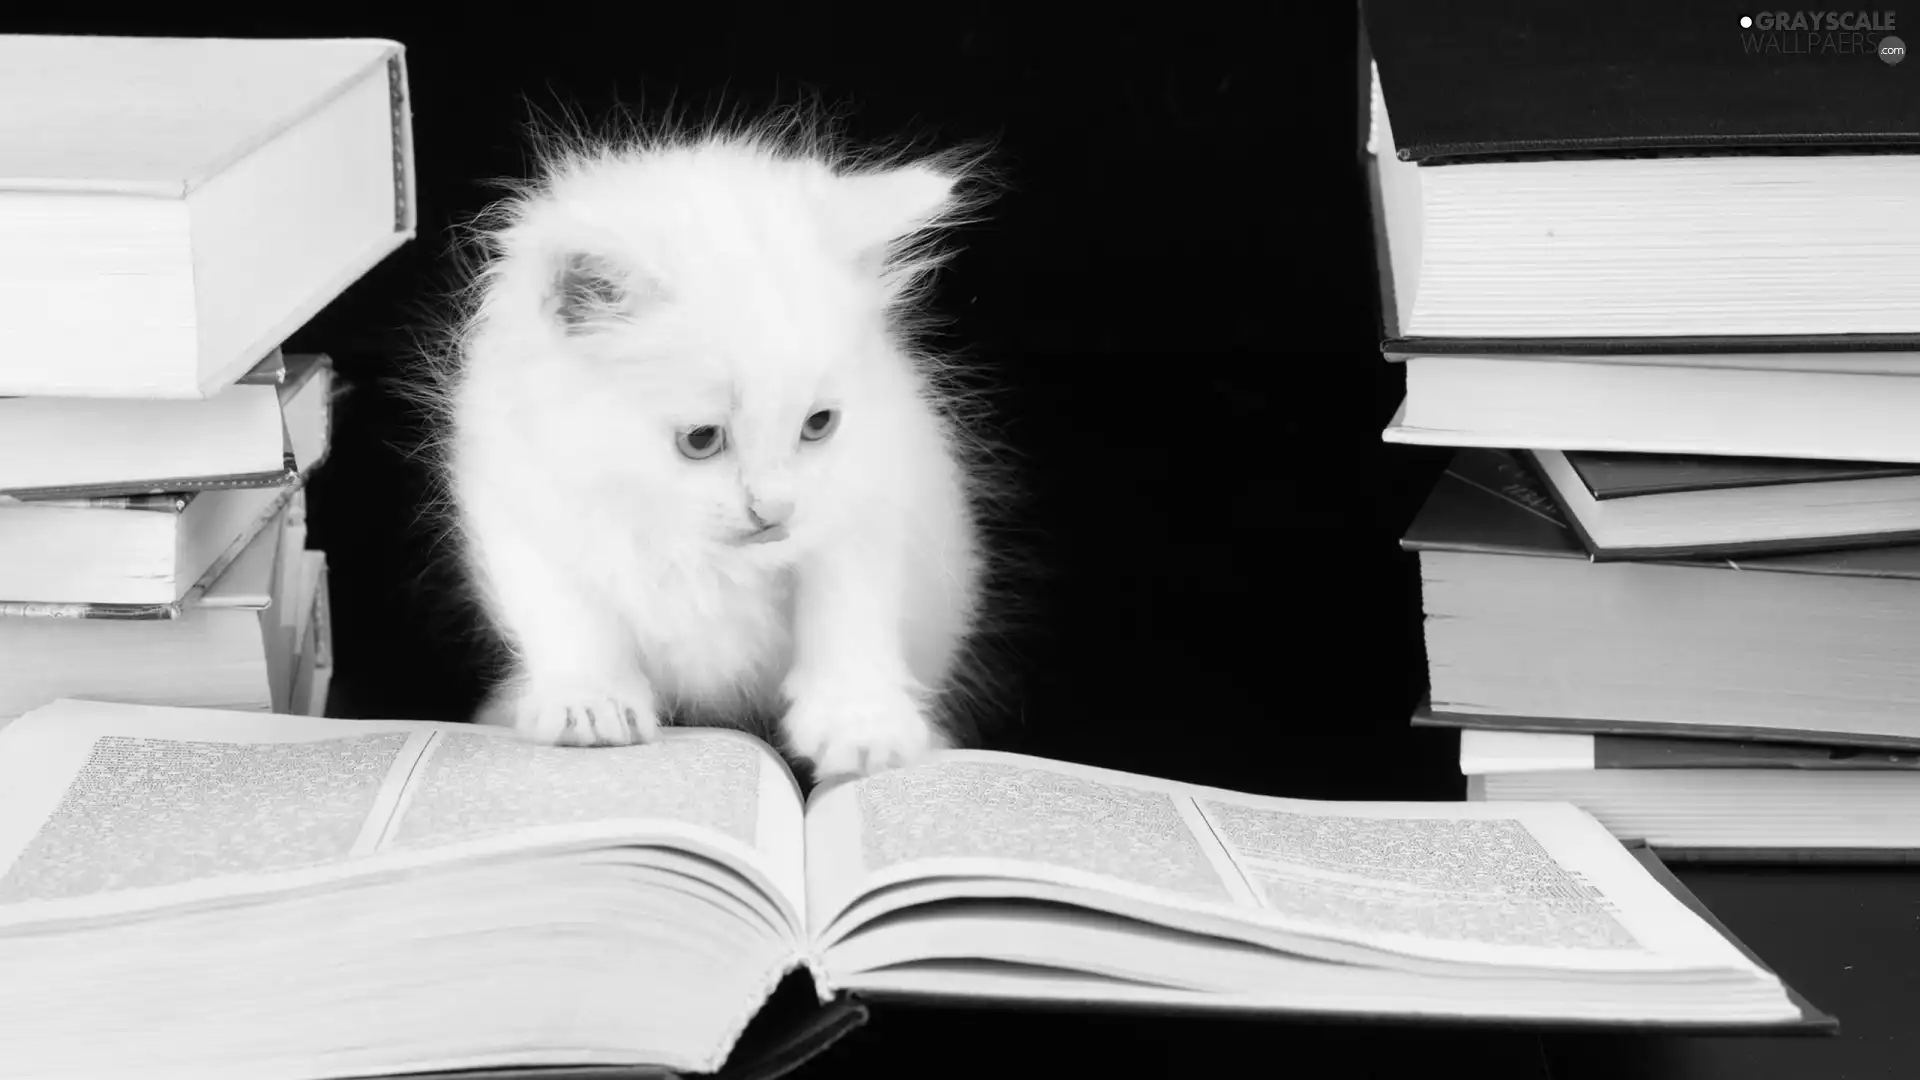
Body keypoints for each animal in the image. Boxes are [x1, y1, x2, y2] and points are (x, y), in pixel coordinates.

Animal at [428, 117, 998, 772]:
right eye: (701, 440)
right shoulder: (520, 505)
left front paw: (860, 724)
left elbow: (848, 609)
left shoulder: (871, 493)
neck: (694, 550)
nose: (775, 509)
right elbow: (572, 617)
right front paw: (590, 703)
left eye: (818, 424)